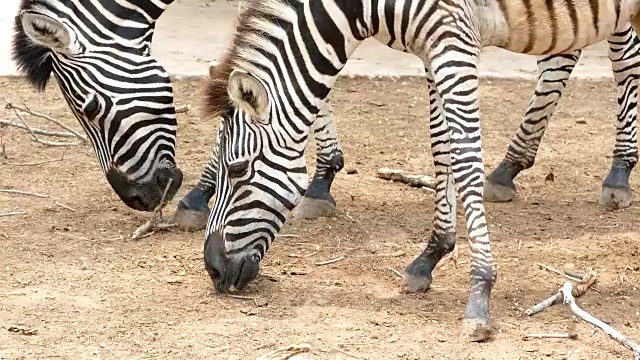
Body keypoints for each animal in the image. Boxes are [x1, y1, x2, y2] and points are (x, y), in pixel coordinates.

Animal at [198, 0, 640, 340]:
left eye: (237, 170)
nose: (213, 269)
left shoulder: (453, 41)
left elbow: (465, 156)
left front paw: (480, 293)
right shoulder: (432, 50)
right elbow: (441, 148)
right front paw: (432, 254)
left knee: (625, 54)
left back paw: (618, 172)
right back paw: (510, 169)